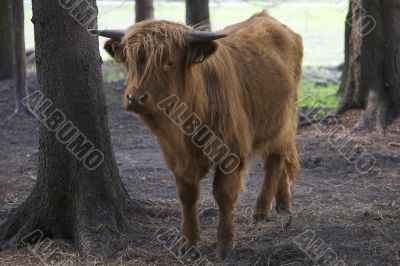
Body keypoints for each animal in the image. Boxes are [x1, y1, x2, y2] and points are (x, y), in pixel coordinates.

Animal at [91, 10, 304, 260]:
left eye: (169, 62)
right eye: (130, 61)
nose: (135, 98)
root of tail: (267, 18)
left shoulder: (231, 153)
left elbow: (224, 196)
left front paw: (225, 247)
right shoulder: (176, 158)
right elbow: (188, 197)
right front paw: (188, 245)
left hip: (284, 119)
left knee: (275, 160)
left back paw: (262, 211)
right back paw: (282, 204)